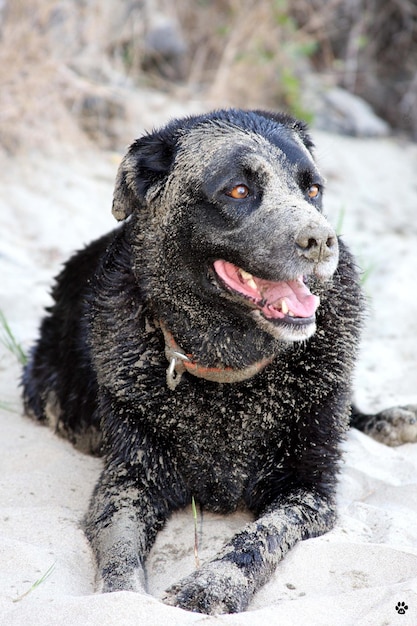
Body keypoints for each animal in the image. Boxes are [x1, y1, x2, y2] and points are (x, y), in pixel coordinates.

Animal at [23, 109, 416, 612]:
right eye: (239, 191)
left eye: (312, 190)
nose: (321, 240)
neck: (230, 370)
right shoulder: (127, 479)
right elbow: (120, 551)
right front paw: (123, 599)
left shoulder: (308, 489)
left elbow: (259, 537)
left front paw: (211, 586)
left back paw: (390, 419)